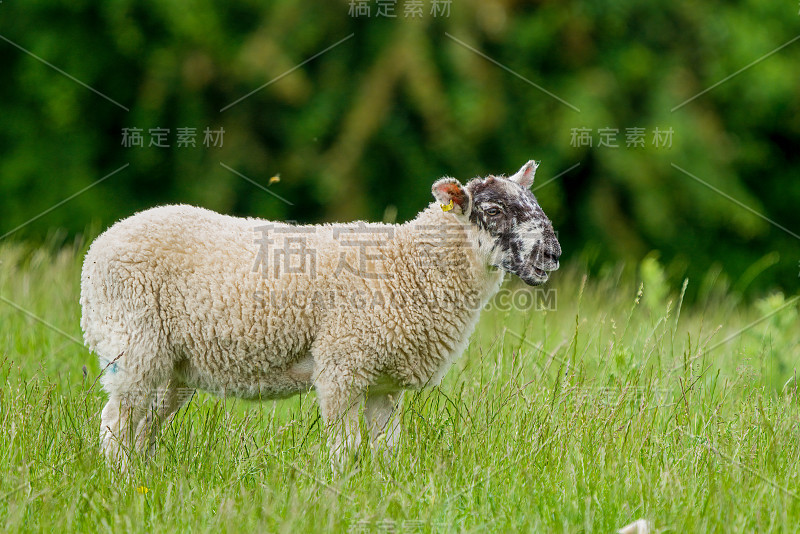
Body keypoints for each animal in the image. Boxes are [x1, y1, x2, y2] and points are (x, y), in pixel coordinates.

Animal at [79, 161, 556, 472]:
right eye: (493, 211)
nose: (551, 254)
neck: (412, 264)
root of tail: (102, 242)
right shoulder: (342, 365)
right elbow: (344, 447)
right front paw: (338, 493)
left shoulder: (384, 382)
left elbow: (386, 448)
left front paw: (384, 491)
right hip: (132, 341)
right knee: (116, 420)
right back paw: (122, 481)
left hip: (173, 363)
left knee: (145, 422)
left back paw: (145, 476)